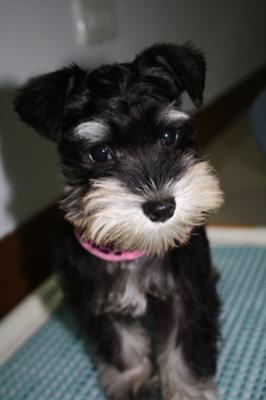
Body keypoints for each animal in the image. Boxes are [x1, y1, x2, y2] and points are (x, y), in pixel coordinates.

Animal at [14, 43, 222, 400]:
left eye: (169, 135)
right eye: (100, 152)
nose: (161, 208)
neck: (133, 248)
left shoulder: (187, 295)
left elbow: (183, 351)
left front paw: (188, 391)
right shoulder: (98, 302)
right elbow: (122, 345)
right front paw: (133, 383)